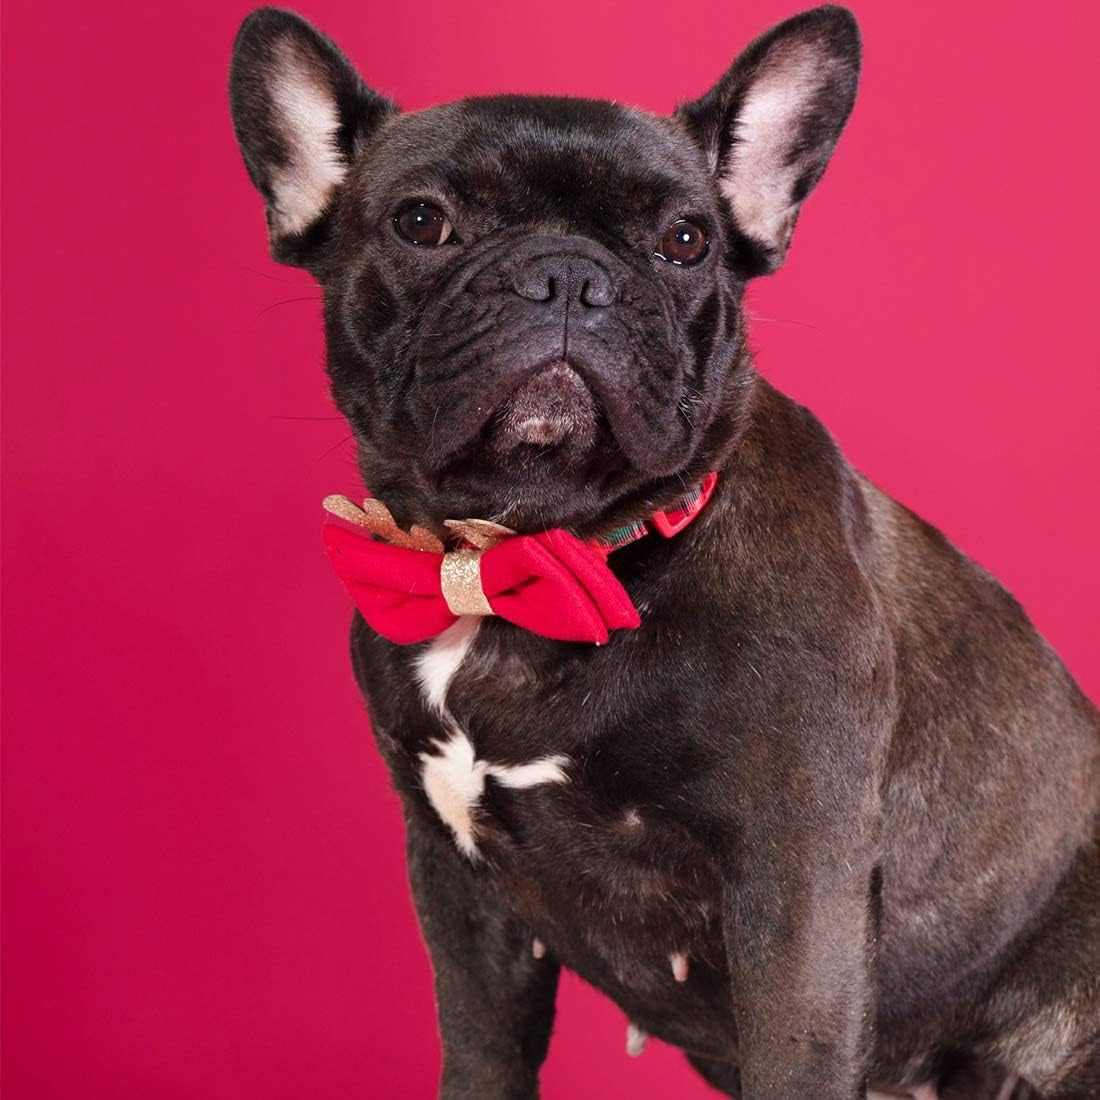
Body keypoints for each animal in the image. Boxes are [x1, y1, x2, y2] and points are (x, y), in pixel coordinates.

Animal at [227, 4, 1095, 1095]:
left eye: (686, 241)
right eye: (420, 223)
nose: (568, 276)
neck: (531, 560)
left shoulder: (795, 891)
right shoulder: (460, 895)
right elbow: (480, 1055)